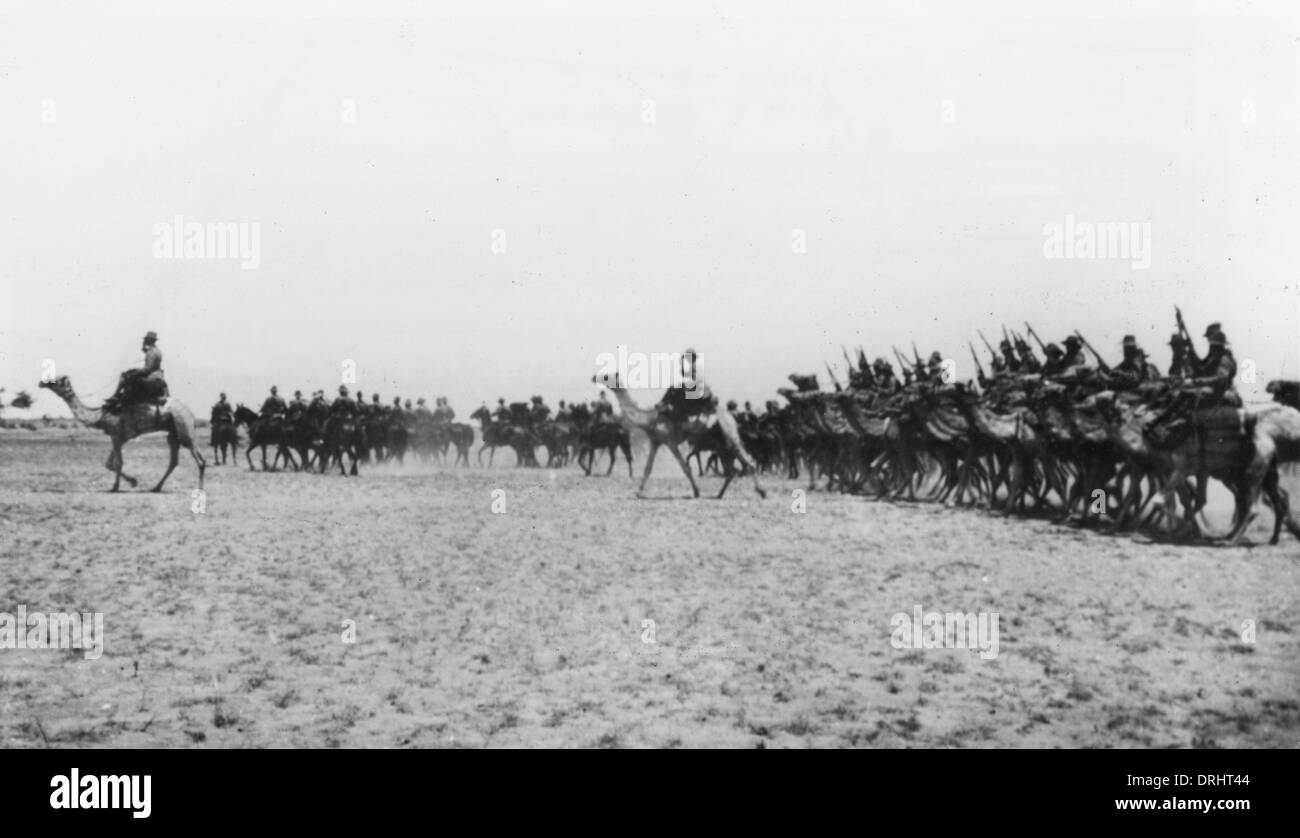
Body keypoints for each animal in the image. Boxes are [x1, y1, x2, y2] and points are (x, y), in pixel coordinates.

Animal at [38, 371, 206, 491]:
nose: (41, 382)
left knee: (198, 458)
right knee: (174, 461)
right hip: (173, 433)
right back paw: (156, 487)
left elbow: (118, 463)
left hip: (183, 427)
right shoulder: (120, 437)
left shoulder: (116, 435)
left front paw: (118, 486)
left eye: (56, 379)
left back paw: (199, 489)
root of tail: (191, 413)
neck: (99, 415)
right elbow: (109, 464)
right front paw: (132, 482)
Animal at [590, 371, 759, 498]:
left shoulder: (670, 442)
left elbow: (685, 468)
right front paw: (638, 492)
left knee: (748, 462)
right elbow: (648, 468)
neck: (649, 418)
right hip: (721, 443)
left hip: (730, 436)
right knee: (732, 470)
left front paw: (697, 492)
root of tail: (731, 417)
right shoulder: (655, 442)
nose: (594, 377)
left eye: (606, 376)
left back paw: (761, 491)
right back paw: (719, 494)